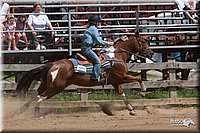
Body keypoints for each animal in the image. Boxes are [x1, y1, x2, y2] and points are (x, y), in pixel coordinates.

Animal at [15, 30, 153, 115]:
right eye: (143, 41)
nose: (151, 53)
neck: (116, 56)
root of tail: (53, 64)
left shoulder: (115, 81)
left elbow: (122, 94)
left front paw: (131, 109)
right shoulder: (121, 77)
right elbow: (139, 79)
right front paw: (143, 92)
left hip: (46, 85)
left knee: (34, 96)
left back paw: (19, 111)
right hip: (55, 88)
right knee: (39, 98)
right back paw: (35, 114)